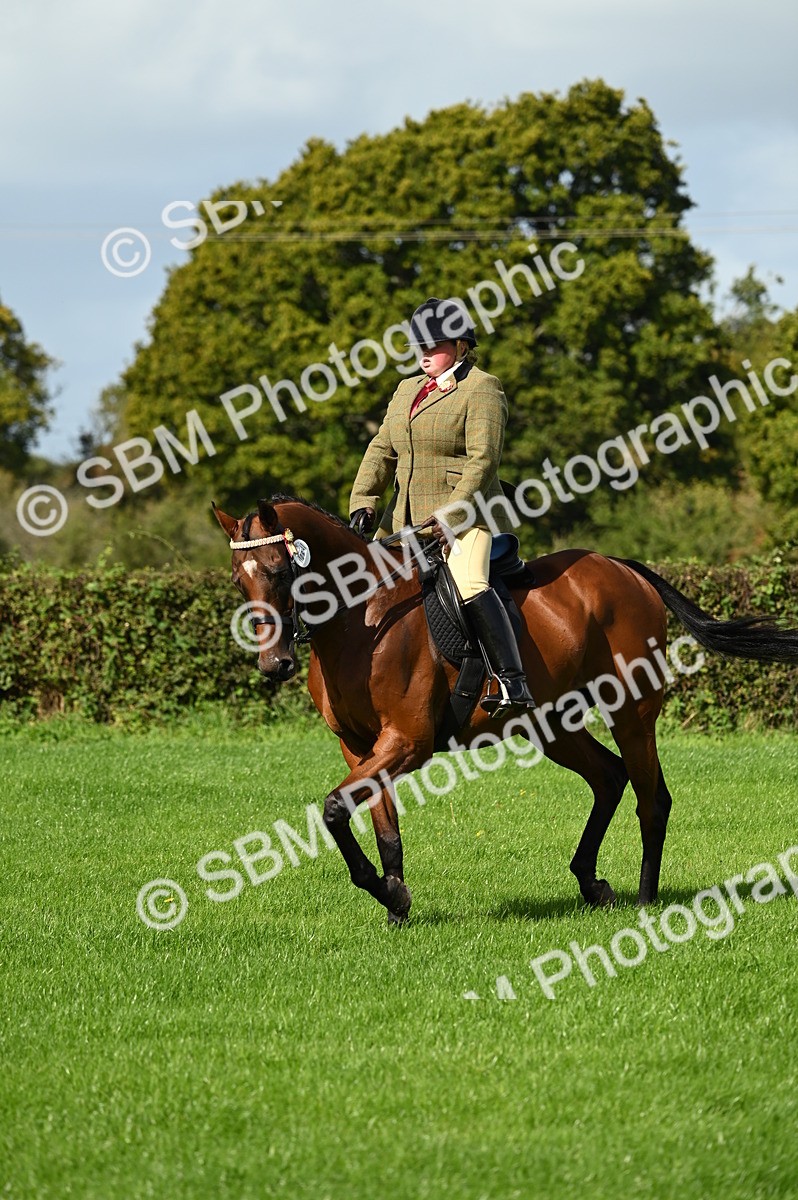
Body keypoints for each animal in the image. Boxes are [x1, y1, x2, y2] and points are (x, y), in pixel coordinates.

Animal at [212, 495, 798, 924]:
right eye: (240, 580)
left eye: (279, 570)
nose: (275, 665)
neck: (365, 618)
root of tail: (622, 568)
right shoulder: (360, 749)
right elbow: (381, 825)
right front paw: (395, 902)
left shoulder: (407, 741)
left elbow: (334, 808)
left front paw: (391, 895)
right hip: (550, 721)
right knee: (609, 778)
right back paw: (592, 883)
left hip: (631, 710)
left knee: (650, 798)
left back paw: (645, 901)